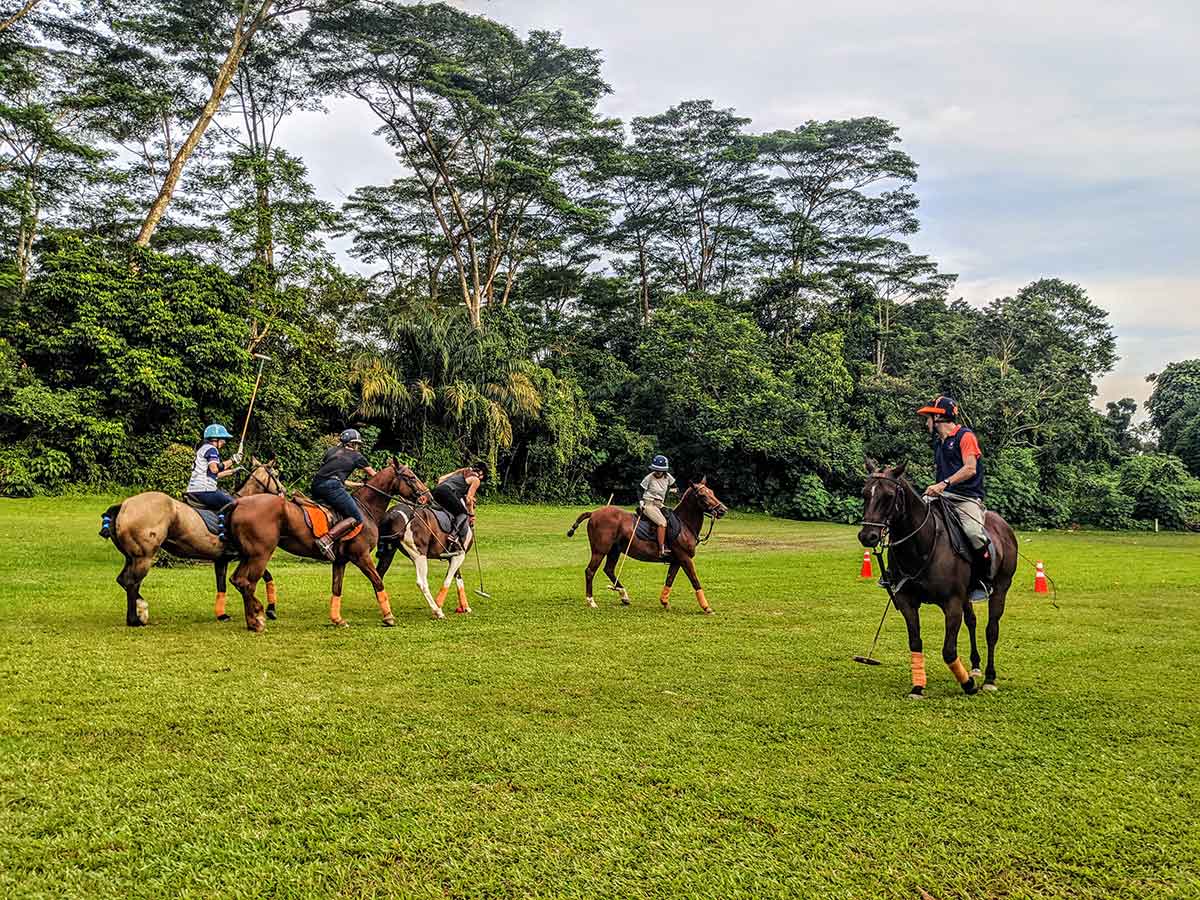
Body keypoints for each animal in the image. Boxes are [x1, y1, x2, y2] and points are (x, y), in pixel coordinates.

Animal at [99, 458, 285, 628]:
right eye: (276, 475)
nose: (284, 491)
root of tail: (124, 505)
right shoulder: (249, 555)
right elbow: (266, 576)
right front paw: (270, 610)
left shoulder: (222, 559)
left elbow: (222, 585)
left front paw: (222, 615)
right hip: (144, 557)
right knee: (132, 582)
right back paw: (136, 618)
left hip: (131, 557)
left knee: (123, 580)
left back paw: (139, 612)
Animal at [226, 465, 429, 633]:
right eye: (411, 477)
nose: (427, 496)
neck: (366, 509)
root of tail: (239, 503)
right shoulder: (361, 556)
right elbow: (378, 581)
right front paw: (388, 617)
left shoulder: (340, 560)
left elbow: (336, 588)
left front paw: (337, 619)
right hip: (260, 555)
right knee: (248, 584)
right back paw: (257, 620)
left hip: (248, 555)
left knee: (238, 580)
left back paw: (253, 620)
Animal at [564, 480, 724, 619]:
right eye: (702, 495)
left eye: (712, 492)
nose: (723, 510)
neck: (685, 524)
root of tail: (593, 513)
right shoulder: (685, 558)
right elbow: (695, 580)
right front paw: (707, 608)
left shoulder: (676, 560)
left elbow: (669, 580)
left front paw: (664, 602)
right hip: (600, 550)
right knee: (590, 571)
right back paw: (591, 601)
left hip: (615, 550)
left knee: (608, 569)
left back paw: (624, 596)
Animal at [859, 460, 1017, 700]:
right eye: (865, 493)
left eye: (888, 495)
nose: (867, 536)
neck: (921, 546)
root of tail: (1004, 525)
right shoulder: (907, 602)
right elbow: (915, 642)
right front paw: (917, 687)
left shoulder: (951, 603)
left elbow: (949, 651)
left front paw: (968, 685)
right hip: (967, 594)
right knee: (972, 621)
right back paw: (975, 667)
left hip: (1000, 588)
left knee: (992, 630)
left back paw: (989, 678)